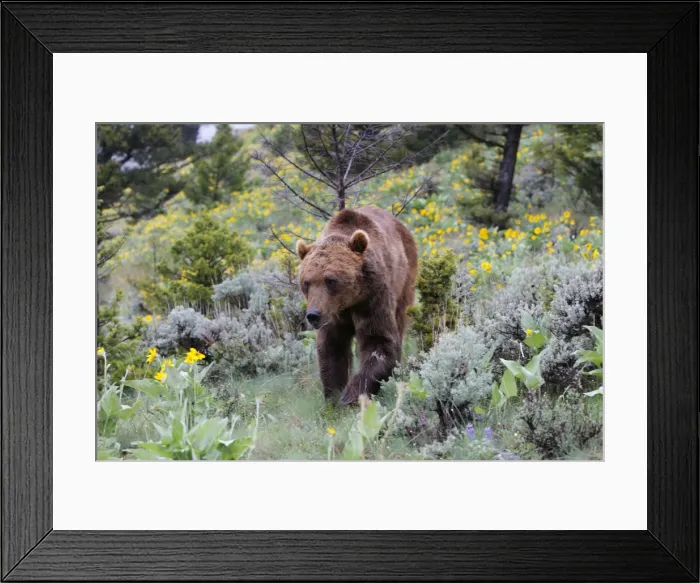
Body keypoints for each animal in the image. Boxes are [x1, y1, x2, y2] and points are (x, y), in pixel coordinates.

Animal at [295, 206, 418, 405]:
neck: (348, 301)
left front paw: (351, 396)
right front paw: (334, 395)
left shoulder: (372, 299)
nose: (313, 315)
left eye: (330, 280)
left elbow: (379, 342)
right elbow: (332, 349)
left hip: (405, 277)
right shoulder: (333, 314)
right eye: (306, 282)